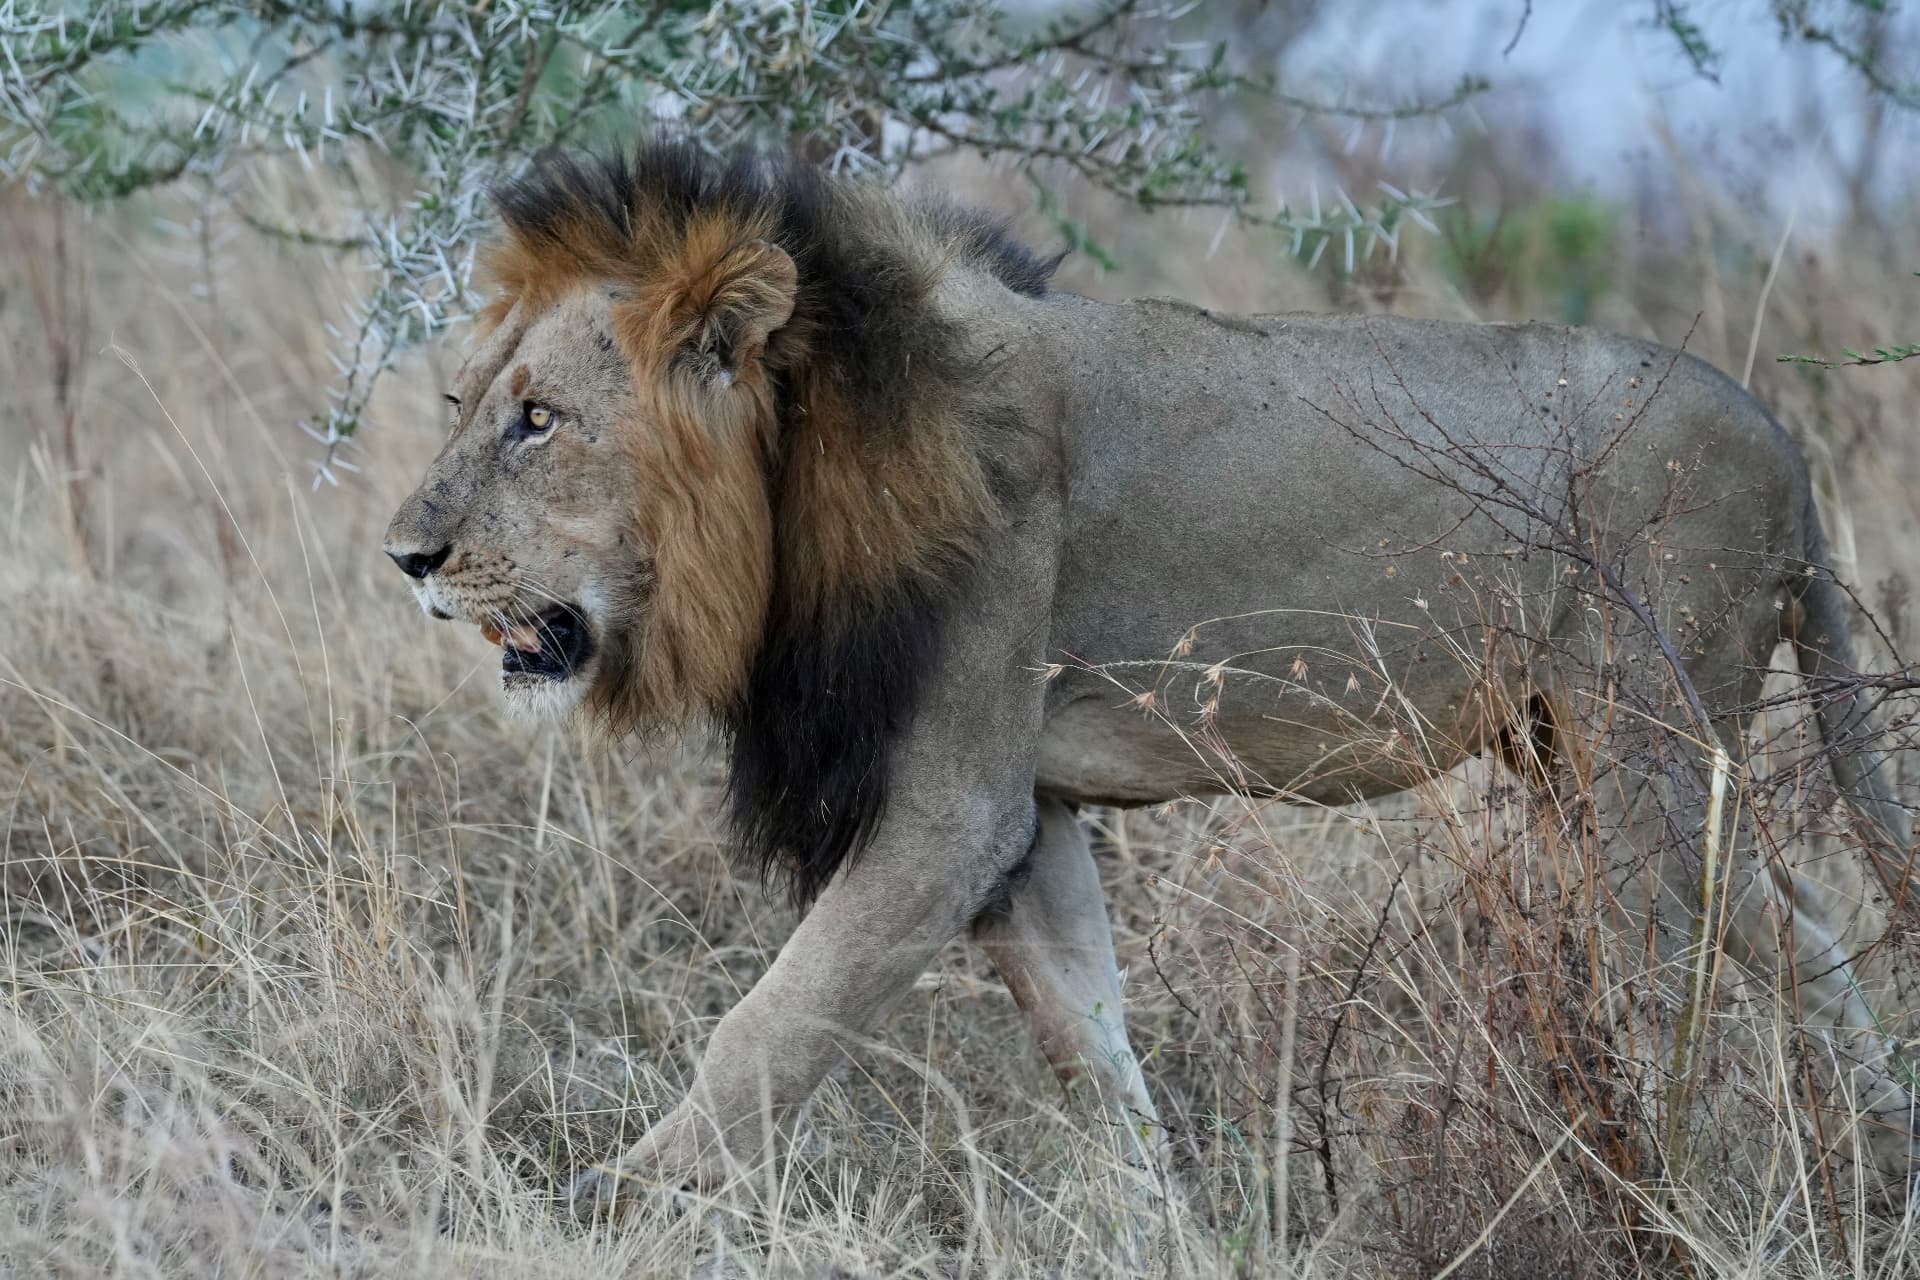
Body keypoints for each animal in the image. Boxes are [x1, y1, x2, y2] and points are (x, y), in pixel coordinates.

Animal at [383, 142, 1916, 1206]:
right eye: (462, 404)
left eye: (539, 421)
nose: (407, 554)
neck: (802, 471)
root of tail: (1786, 450)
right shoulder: (1026, 818)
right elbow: (1091, 1046)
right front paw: (1158, 1222)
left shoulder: (951, 807)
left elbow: (777, 1016)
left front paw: (624, 1195)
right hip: (1593, 758)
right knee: (1804, 926)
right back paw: (1883, 1147)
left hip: (1638, 743)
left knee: (1674, 979)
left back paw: (1648, 1176)